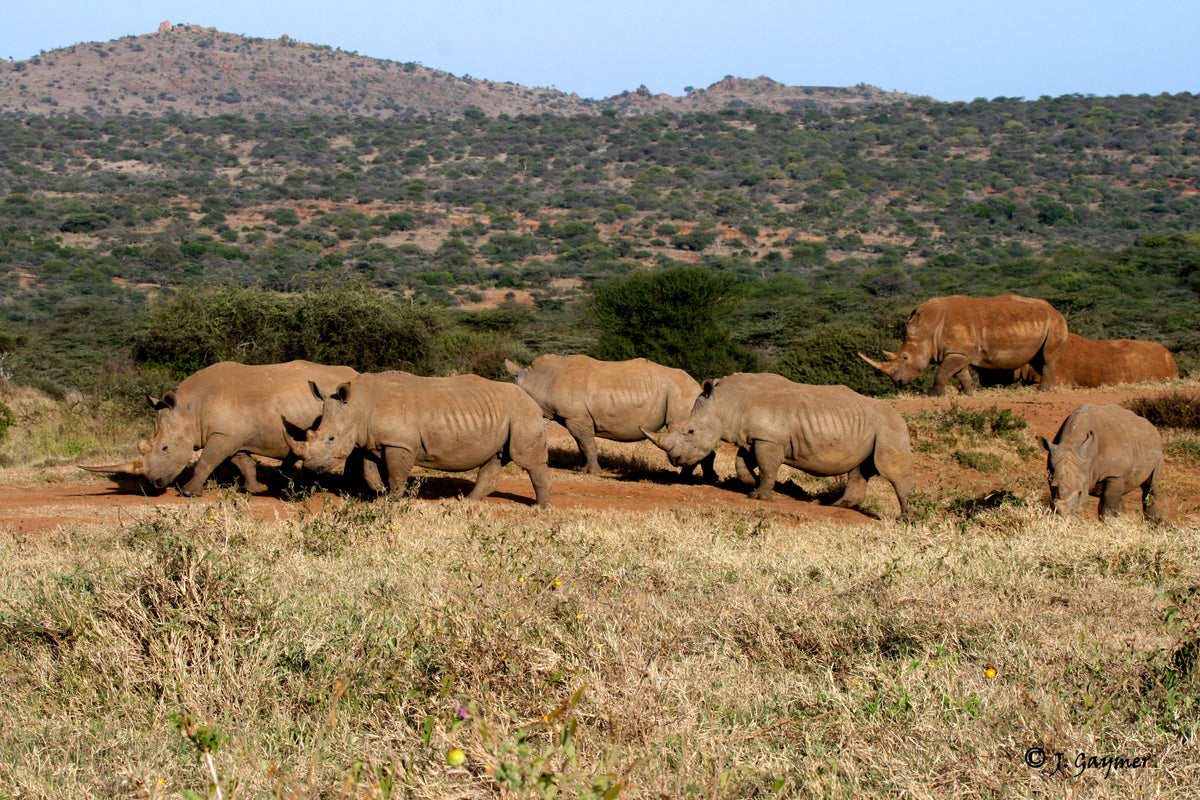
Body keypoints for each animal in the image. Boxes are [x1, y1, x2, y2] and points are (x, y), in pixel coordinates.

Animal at [80, 360, 358, 496]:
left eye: (165, 448)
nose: (155, 484)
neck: (189, 410)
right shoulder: (232, 437)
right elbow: (243, 463)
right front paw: (256, 489)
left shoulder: (222, 436)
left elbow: (206, 461)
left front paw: (188, 493)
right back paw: (283, 481)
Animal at [294, 371, 552, 507]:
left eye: (331, 438)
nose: (310, 467)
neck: (358, 405)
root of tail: (530, 398)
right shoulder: (371, 441)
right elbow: (370, 473)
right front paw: (380, 497)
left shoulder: (399, 443)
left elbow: (396, 474)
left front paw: (394, 500)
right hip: (504, 414)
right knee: (494, 458)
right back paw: (465, 502)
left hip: (522, 413)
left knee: (528, 460)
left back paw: (540, 507)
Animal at [505, 354, 717, 480]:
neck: (540, 382)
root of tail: (696, 385)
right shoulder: (575, 419)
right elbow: (582, 445)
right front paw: (582, 469)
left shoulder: (576, 418)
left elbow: (587, 444)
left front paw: (594, 472)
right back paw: (708, 478)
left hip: (682, 395)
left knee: (683, 430)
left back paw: (683, 477)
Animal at [642, 372, 913, 517]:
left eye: (690, 431)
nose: (675, 460)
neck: (727, 404)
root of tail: (901, 417)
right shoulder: (755, 438)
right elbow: (742, 463)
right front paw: (750, 485)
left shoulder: (768, 439)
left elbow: (767, 466)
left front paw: (761, 497)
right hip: (870, 428)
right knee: (859, 469)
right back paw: (830, 506)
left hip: (890, 427)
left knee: (891, 471)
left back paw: (905, 519)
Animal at [860, 294, 1068, 396]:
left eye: (905, 357)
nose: (898, 382)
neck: (927, 328)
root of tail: (1056, 310)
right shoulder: (959, 353)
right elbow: (962, 375)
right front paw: (969, 394)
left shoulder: (957, 352)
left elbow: (943, 372)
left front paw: (933, 395)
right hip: (1043, 322)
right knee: (1038, 359)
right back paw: (1049, 389)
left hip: (1055, 322)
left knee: (1047, 358)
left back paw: (1043, 391)